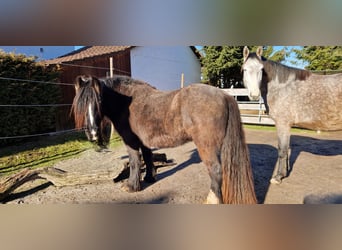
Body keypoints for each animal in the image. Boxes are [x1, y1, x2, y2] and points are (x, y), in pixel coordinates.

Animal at [70, 74, 256, 203]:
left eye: (99, 101)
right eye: (81, 104)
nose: (93, 134)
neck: (125, 103)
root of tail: (224, 95)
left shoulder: (131, 142)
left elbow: (135, 161)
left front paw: (131, 186)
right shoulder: (144, 142)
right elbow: (147, 157)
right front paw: (149, 178)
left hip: (207, 146)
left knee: (216, 170)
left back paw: (211, 200)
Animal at [242, 46, 340, 184]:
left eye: (261, 69)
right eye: (245, 69)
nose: (255, 95)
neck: (282, 87)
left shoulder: (282, 123)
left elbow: (282, 149)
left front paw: (278, 177)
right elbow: (286, 148)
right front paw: (284, 173)